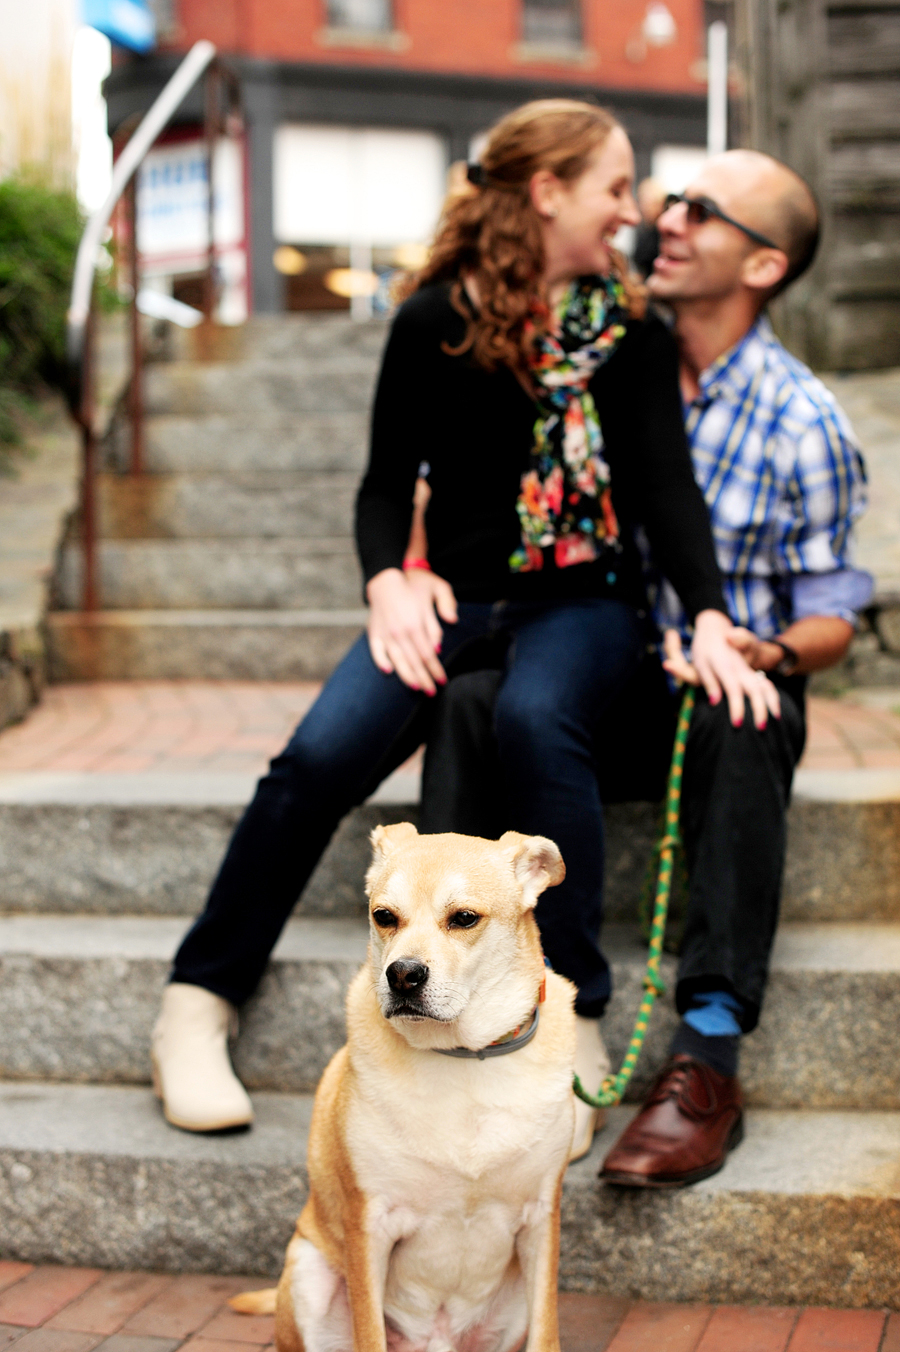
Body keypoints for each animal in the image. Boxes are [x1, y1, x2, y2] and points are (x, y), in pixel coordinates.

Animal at [235, 822, 570, 1352]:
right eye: (384, 916)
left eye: (464, 918)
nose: (403, 974)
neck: (464, 1057)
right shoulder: (369, 1225)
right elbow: (369, 1333)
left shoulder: (541, 1219)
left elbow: (547, 1333)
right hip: (310, 1273)